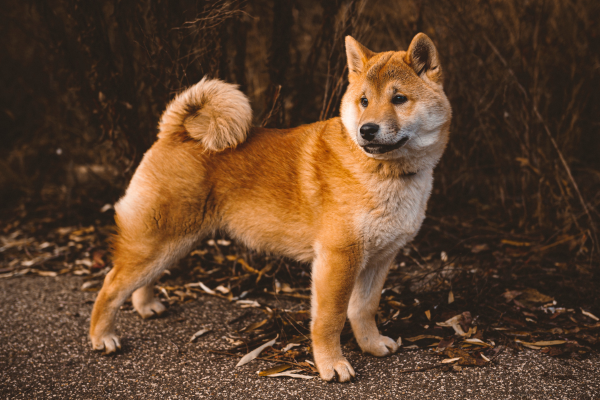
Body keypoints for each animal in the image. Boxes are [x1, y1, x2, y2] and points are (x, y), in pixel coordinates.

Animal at [90, 33, 450, 382]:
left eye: (399, 99)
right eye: (364, 101)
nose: (367, 129)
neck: (385, 173)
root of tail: (175, 132)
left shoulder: (379, 258)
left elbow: (364, 308)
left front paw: (371, 345)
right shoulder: (338, 258)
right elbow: (330, 319)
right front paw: (331, 365)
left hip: (175, 242)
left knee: (141, 280)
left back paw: (146, 305)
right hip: (159, 240)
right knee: (111, 285)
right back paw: (102, 336)